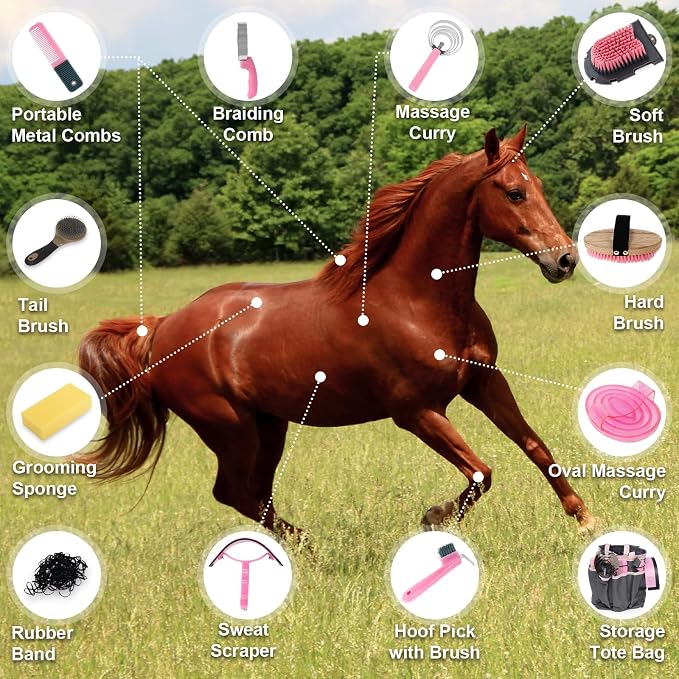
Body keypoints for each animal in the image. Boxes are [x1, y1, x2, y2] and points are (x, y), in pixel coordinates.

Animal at [78, 126, 596, 536]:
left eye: (538, 185)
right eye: (513, 192)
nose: (565, 260)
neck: (417, 301)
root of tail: (161, 328)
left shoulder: (485, 382)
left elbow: (535, 446)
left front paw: (586, 519)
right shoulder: (416, 412)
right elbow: (481, 473)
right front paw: (432, 516)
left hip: (269, 426)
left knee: (251, 494)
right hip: (230, 430)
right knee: (234, 492)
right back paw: (310, 550)